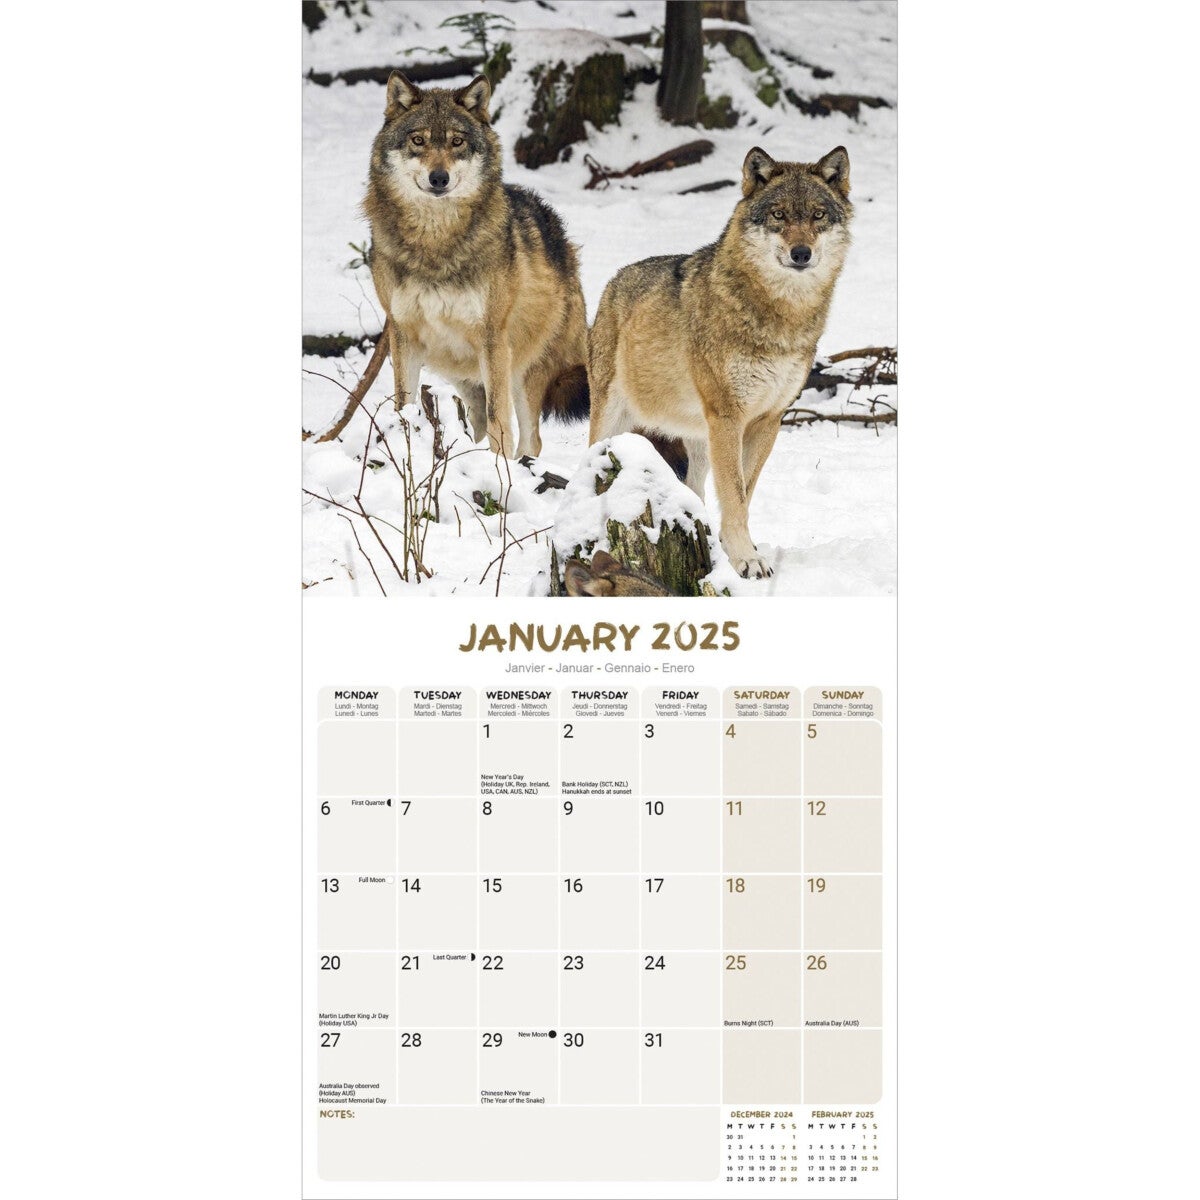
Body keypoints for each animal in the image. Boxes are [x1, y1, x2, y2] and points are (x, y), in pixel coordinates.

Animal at [364, 72, 589, 459]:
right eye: (418, 140)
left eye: (457, 142)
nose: (439, 178)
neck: (435, 242)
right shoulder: (402, 333)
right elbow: (403, 406)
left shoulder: (492, 338)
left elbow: (501, 422)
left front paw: (499, 468)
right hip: (460, 371)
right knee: (477, 422)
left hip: (521, 370)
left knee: (530, 437)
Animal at [587, 145, 853, 578]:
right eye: (779, 214)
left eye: (817, 215)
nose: (801, 253)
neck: (782, 317)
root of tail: (613, 282)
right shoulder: (729, 416)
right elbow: (734, 492)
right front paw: (746, 559)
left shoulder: (767, 420)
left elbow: (744, 492)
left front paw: (737, 550)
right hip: (614, 420)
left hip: (700, 437)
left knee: (693, 491)